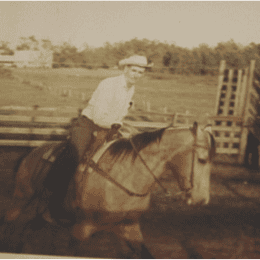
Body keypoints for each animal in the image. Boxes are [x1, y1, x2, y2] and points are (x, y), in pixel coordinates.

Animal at [0, 122, 215, 258]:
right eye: (202, 159)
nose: (202, 200)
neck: (126, 177)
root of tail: (33, 152)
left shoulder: (130, 229)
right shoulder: (81, 229)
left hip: (42, 213)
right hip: (20, 199)